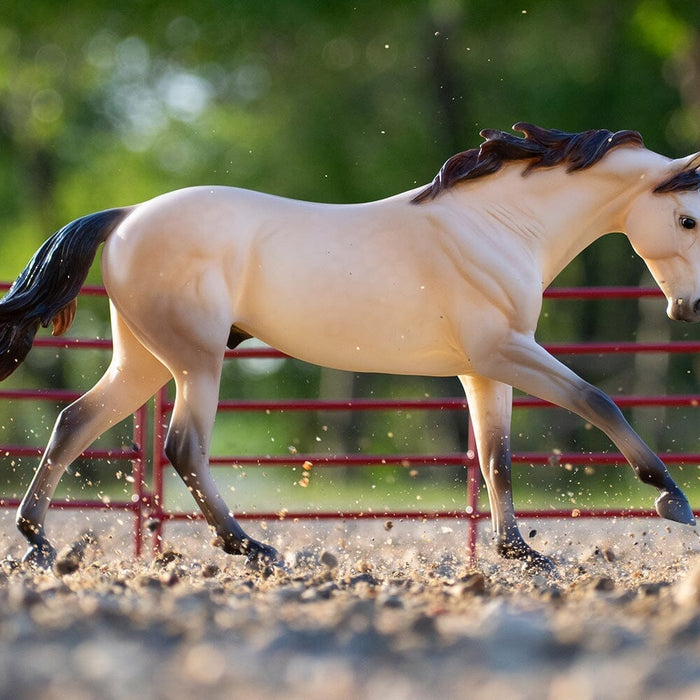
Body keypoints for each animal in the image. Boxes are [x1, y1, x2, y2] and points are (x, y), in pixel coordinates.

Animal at [1, 123, 699, 573]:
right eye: (688, 219)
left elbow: (495, 457)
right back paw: (252, 550)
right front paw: (672, 499)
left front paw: (523, 554)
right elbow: (597, 400)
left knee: (74, 421)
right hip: (196, 362)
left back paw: (37, 541)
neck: (496, 225)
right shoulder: (506, 352)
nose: (688, 308)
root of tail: (126, 216)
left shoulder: (483, 369)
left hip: (145, 360)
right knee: (183, 447)